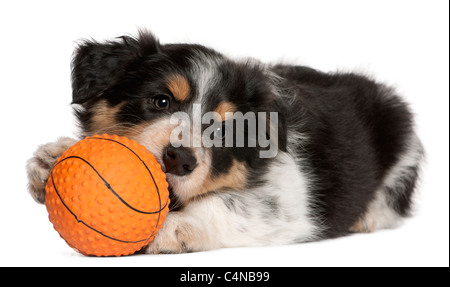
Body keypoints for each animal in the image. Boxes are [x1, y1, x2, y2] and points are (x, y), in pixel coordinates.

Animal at [26, 31, 424, 254]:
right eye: (161, 101)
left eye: (221, 131)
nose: (179, 159)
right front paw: (51, 159)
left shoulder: (289, 202)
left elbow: (229, 205)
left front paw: (174, 227)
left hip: (403, 144)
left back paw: (367, 217)